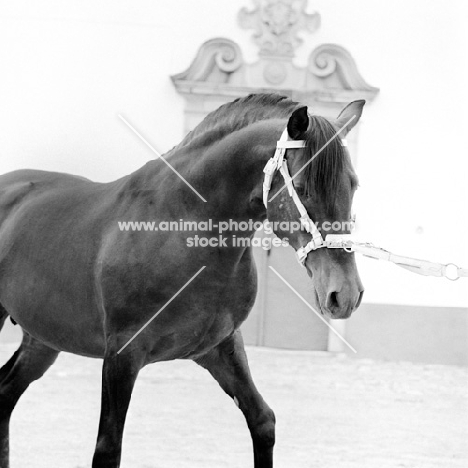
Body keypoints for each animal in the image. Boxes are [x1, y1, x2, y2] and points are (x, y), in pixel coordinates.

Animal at [0, 93, 366, 466]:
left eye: (353, 185)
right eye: (303, 189)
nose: (344, 294)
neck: (182, 230)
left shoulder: (221, 347)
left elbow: (263, 421)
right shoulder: (121, 355)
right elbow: (107, 448)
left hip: (43, 338)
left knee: (5, 394)